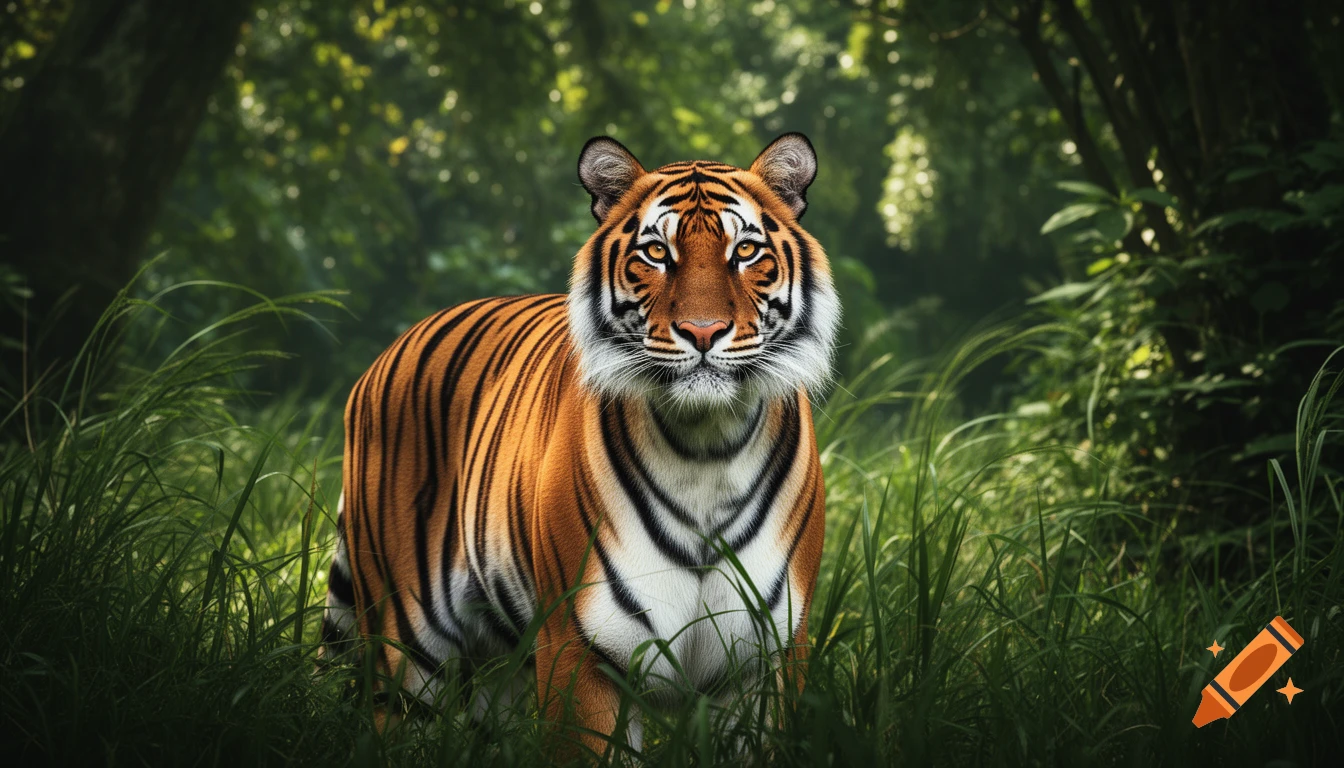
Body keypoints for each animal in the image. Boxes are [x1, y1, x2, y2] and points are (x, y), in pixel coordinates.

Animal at [321, 133, 840, 756]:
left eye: (744, 251)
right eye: (657, 253)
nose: (703, 331)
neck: (705, 446)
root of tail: (385, 354)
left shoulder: (769, 657)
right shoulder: (582, 648)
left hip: (499, 667)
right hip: (407, 647)